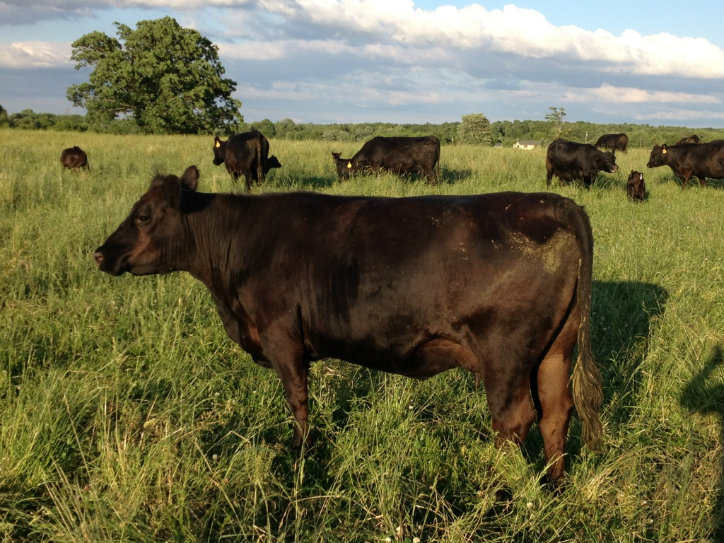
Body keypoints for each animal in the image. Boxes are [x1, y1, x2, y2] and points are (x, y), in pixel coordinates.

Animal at [96, 165, 604, 484]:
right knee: (556, 413)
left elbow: (298, 401)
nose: (100, 253)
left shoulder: (282, 337)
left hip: (506, 355)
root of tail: (555, 203)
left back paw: (496, 491)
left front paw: (300, 456)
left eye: (144, 215)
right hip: (554, 350)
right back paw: (555, 488)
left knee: (514, 419)